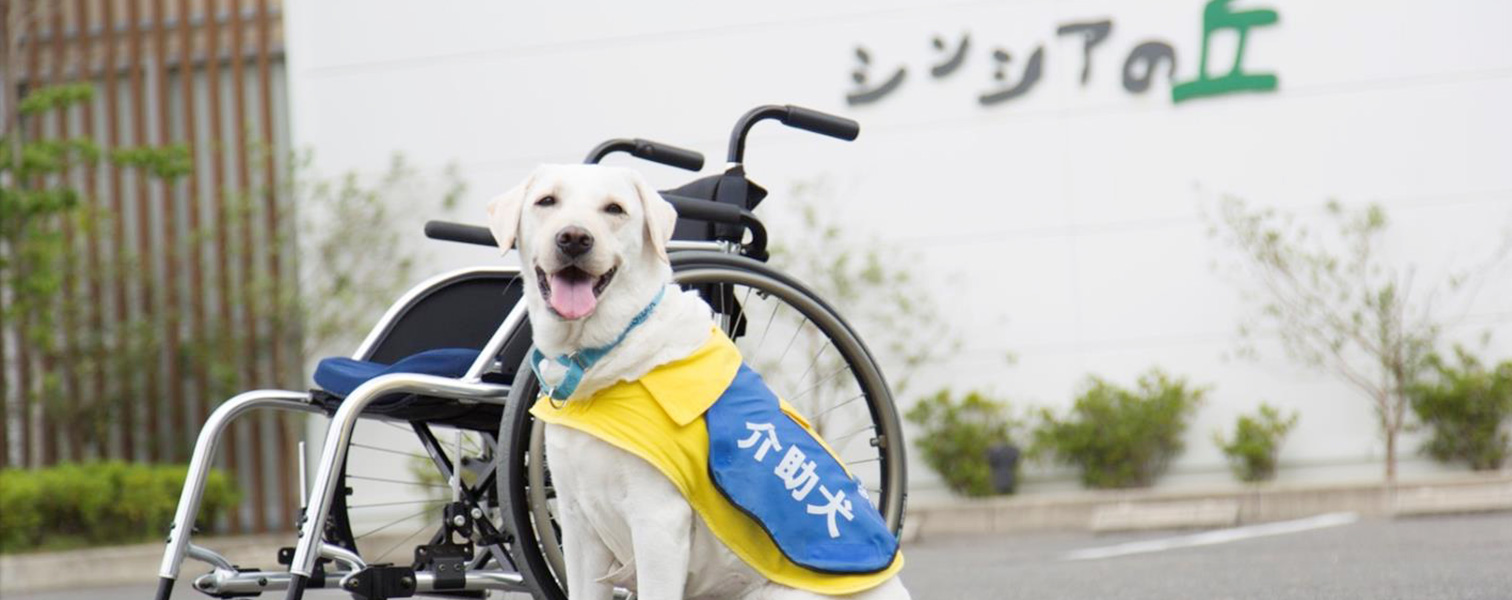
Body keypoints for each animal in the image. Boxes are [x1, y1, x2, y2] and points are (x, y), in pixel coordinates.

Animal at [486, 163, 907, 598]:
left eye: (614, 209)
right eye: (546, 201)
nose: (574, 238)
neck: (608, 354)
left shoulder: (657, 522)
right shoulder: (578, 523)